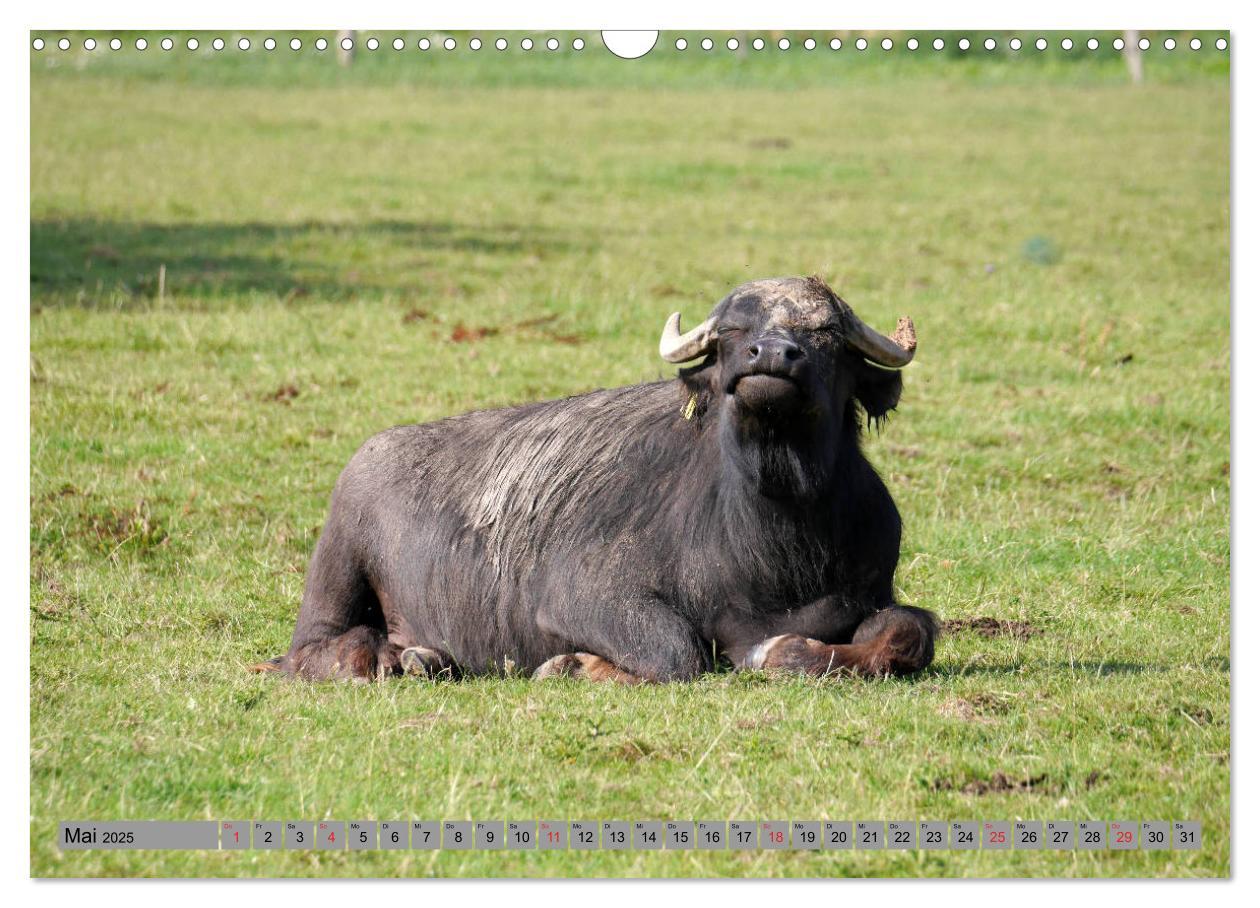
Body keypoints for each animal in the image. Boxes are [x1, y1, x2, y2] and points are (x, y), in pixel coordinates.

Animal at [253, 275, 937, 680]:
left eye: (824, 333)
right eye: (732, 332)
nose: (769, 355)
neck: (774, 542)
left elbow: (909, 631)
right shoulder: (578, 596)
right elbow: (677, 651)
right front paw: (575, 665)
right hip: (337, 562)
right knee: (309, 648)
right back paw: (384, 659)